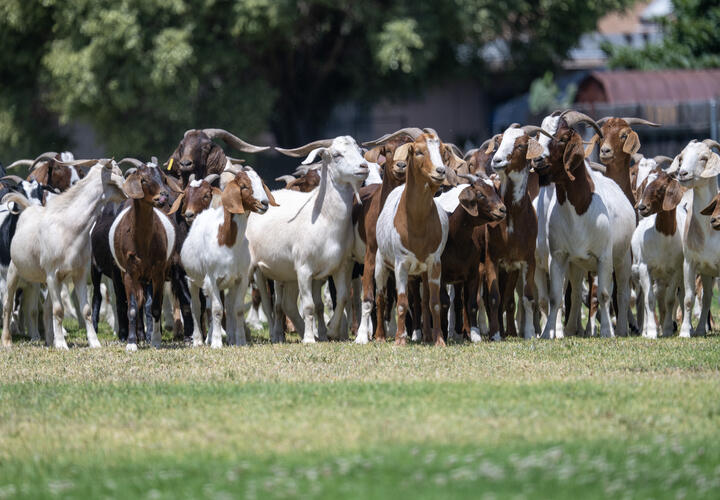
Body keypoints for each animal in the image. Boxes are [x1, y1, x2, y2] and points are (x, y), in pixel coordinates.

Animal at [1, 160, 126, 349]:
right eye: (118, 172)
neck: (69, 226)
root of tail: (29, 209)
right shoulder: (52, 274)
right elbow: (59, 310)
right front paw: (61, 344)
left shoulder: (78, 273)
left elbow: (86, 310)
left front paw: (94, 342)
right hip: (15, 271)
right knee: (8, 304)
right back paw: (7, 340)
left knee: (46, 307)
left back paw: (48, 340)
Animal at [176, 168, 276, 347]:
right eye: (243, 186)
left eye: (261, 182)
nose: (264, 203)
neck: (227, 241)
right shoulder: (212, 279)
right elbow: (216, 310)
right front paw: (216, 342)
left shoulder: (241, 278)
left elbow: (237, 309)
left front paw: (240, 340)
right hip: (192, 280)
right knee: (196, 307)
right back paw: (198, 340)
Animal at [247, 136, 369, 343]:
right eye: (336, 154)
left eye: (360, 151)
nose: (364, 166)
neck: (323, 219)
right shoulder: (304, 269)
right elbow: (309, 305)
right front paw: (310, 339)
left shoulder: (340, 266)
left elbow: (342, 298)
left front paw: (330, 331)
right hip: (260, 270)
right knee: (269, 302)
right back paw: (276, 335)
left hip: (287, 274)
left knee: (286, 304)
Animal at [536, 111, 635, 339]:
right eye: (539, 137)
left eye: (563, 138)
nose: (537, 161)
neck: (580, 208)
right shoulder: (559, 256)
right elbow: (556, 296)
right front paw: (547, 333)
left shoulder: (604, 257)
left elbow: (605, 294)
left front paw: (607, 332)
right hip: (577, 264)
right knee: (573, 291)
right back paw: (572, 329)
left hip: (623, 257)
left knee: (623, 293)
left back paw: (622, 329)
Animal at [666, 139, 720, 337]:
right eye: (681, 158)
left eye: (704, 157)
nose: (682, 173)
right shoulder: (690, 263)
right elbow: (689, 298)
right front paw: (684, 332)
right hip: (706, 272)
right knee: (706, 299)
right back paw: (699, 330)